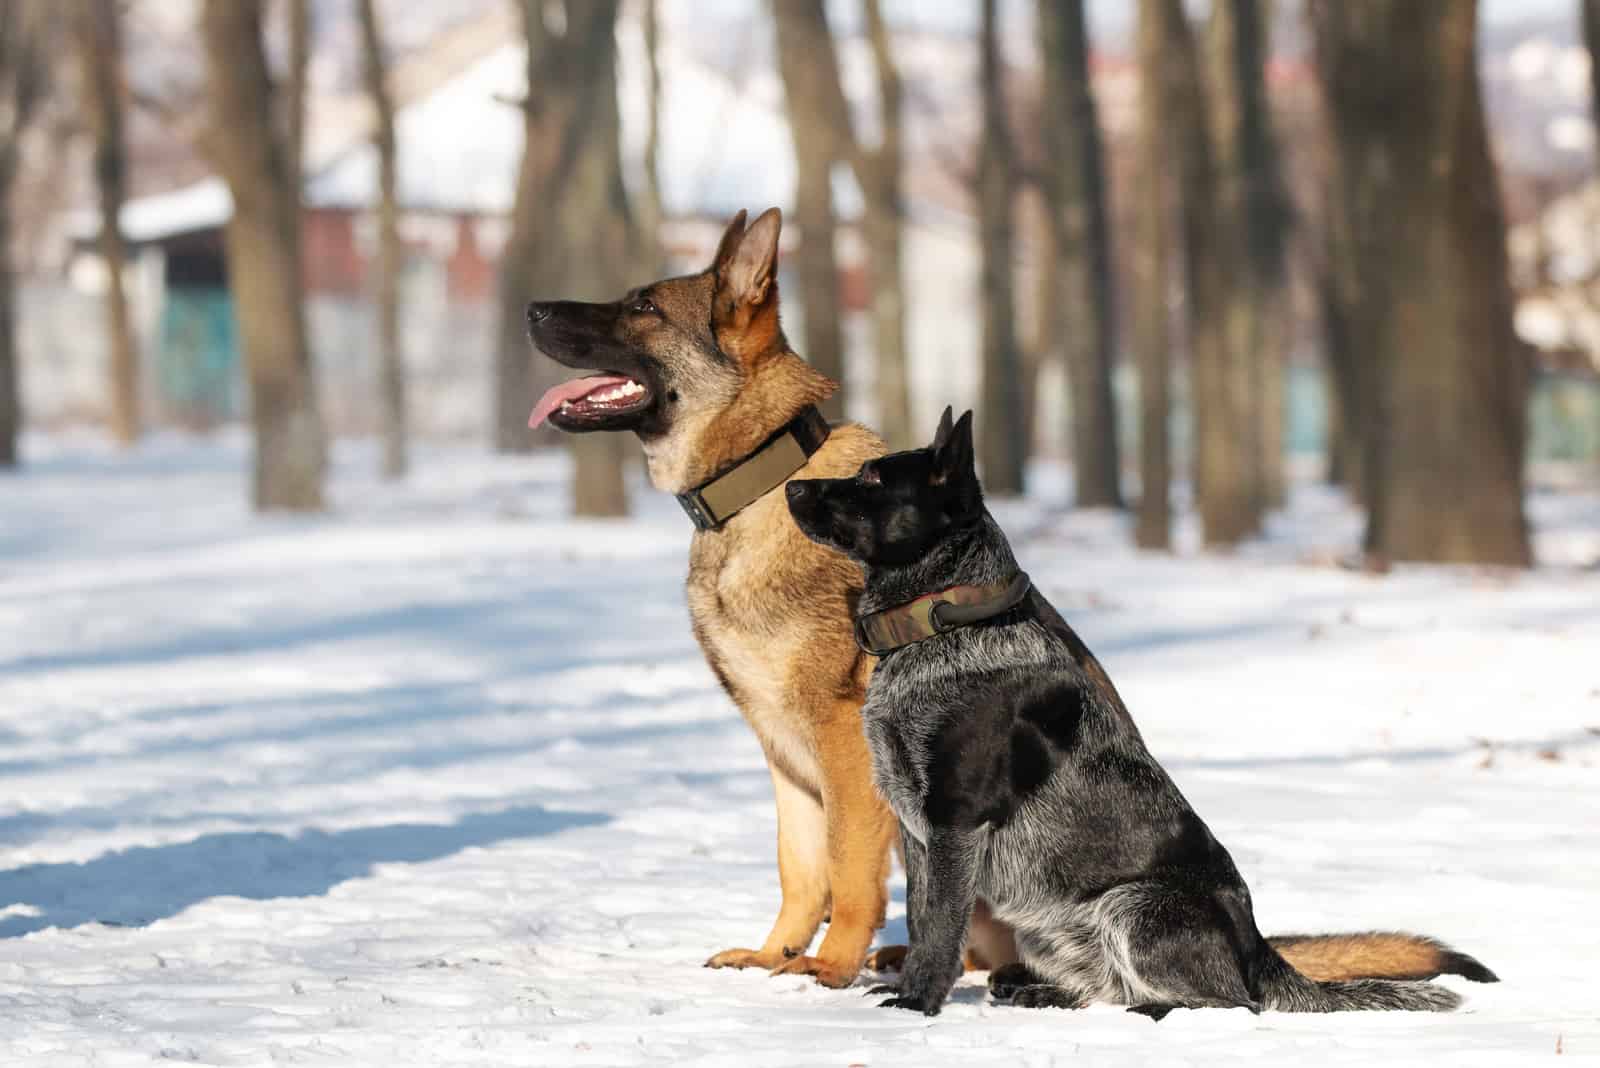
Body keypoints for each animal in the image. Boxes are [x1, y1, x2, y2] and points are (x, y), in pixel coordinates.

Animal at [780, 409, 1491, 1016]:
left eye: (873, 478)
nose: (791, 485)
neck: (944, 622)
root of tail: (1259, 951)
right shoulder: (919, 833)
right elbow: (927, 918)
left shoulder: (954, 822)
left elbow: (939, 934)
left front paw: (917, 1005)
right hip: (1046, 933)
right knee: (1104, 989)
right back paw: (1044, 995)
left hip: (1131, 907)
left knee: (1230, 1003)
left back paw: (1155, 1010)